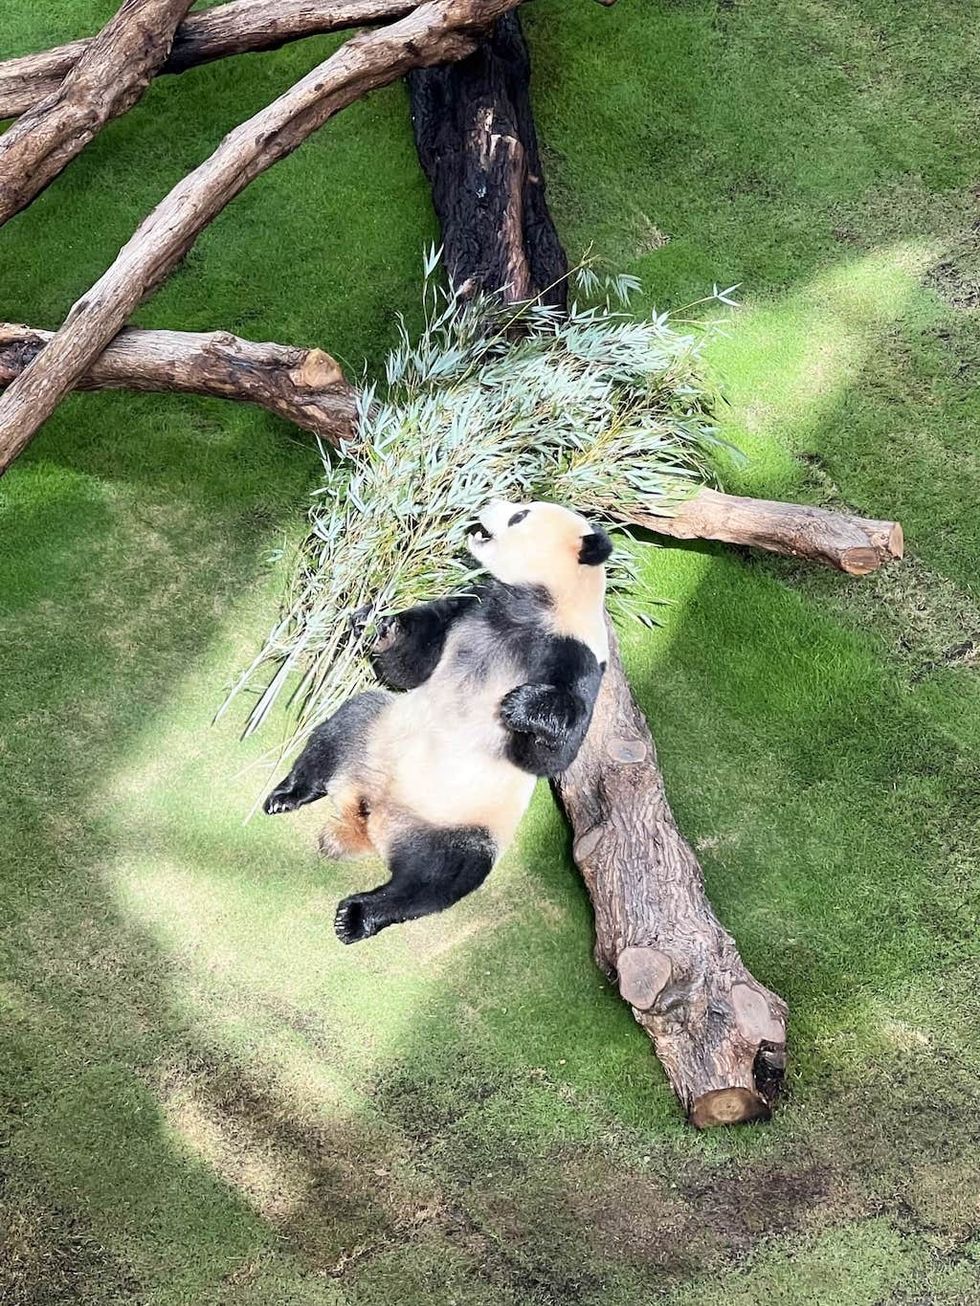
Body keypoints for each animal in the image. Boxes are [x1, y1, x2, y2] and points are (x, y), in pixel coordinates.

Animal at [263, 499, 613, 944]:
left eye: (521, 515)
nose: (490, 503)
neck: (530, 607)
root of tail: (372, 811)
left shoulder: (576, 655)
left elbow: (553, 754)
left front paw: (520, 706)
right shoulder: (472, 606)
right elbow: (407, 667)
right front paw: (379, 623)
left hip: (465, 821)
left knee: (439, 877)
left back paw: (359, 915)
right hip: (376, 730)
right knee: (339, 729)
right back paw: (289, 793)